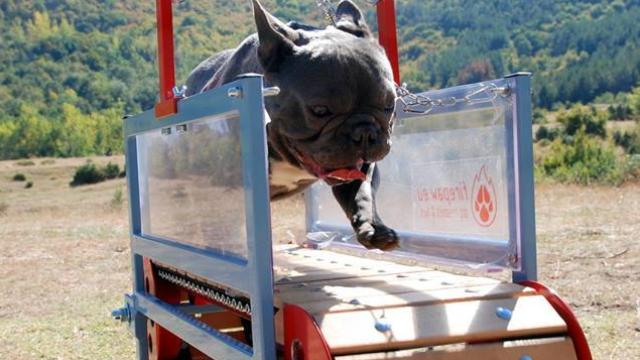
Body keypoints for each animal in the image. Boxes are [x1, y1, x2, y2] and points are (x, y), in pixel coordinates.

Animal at [184, 0, 400, 250]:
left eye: (389, 105)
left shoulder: (362, 168)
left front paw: (374, 227)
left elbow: (361, 193)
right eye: (320, 110)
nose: (364, 132)